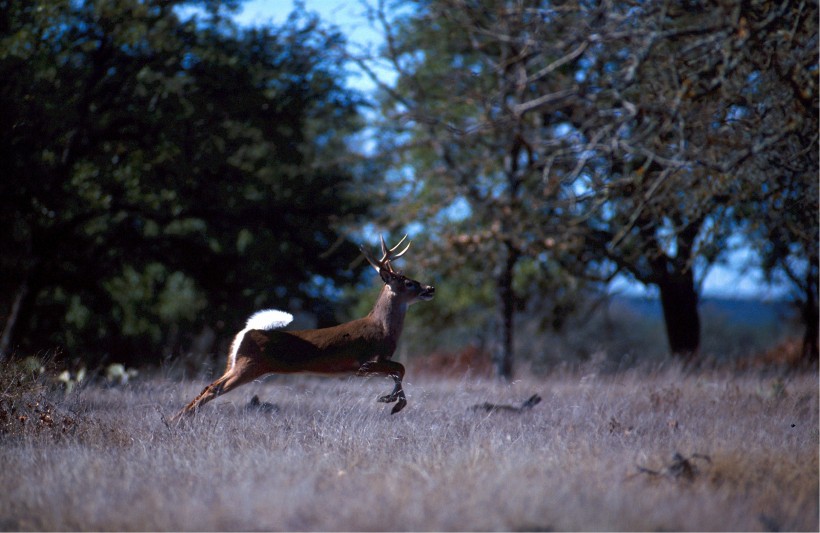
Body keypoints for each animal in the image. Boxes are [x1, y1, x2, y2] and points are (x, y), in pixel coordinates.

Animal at [170, 235, 432, 422]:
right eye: (408, 282)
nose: (430, 288)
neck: (382, 328)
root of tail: (247, 331)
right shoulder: (366, 362)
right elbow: (401, 368)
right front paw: (393, 402)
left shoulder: (372, 365)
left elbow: (399, 371)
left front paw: (390, 399)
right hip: (248, 366)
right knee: (214, 387)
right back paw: (176, 420)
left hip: (236, 364)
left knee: (209, 385)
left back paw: (176, 419)